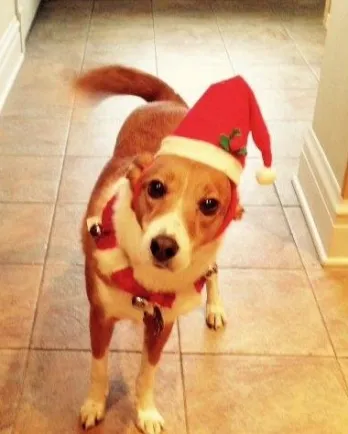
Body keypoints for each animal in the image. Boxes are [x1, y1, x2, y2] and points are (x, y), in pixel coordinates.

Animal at [75, 64, 251, 434]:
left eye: (210, 204)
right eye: (155, 188)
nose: (164, 246)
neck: (145, 285)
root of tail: (169, 100)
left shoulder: (162, 326)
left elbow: (147, 375)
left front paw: (145, 413)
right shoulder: (100, 317)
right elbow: (99, 369)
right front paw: (94, 405)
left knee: (213, 271)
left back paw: (214, 308)